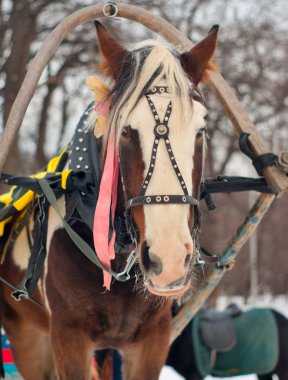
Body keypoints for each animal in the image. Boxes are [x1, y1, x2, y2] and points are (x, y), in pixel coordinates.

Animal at [0, 21, 218, 380]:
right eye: (126, 131)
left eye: (200, 131)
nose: (169, 259)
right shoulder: (68, 338)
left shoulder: (152, 340)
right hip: (26, 337)